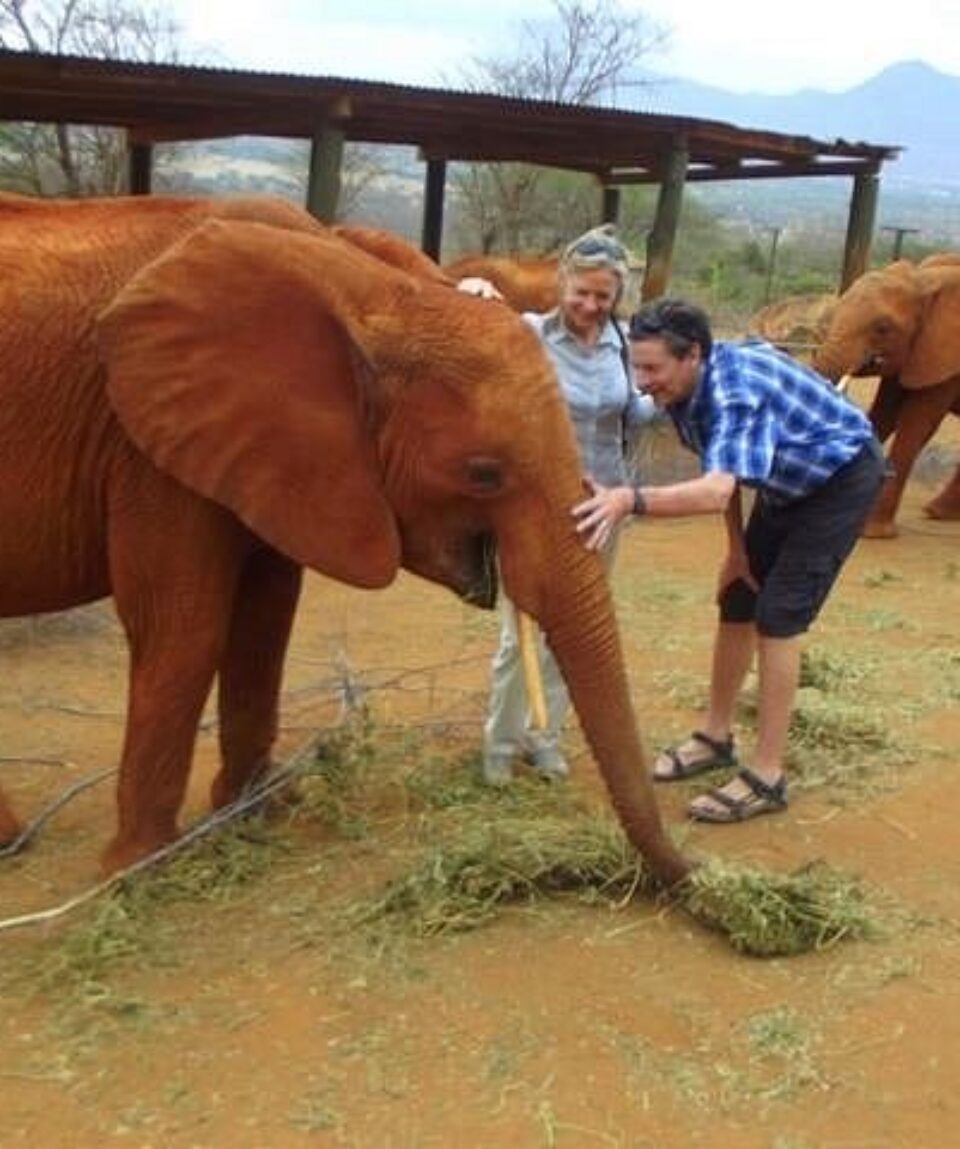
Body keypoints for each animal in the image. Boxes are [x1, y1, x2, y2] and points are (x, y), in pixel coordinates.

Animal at [0, 190, 688, 887]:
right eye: (484, 474)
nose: (690, 877)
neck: (366, 288)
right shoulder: (146, 445)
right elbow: (183, 628)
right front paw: (143, 871)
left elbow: (264, 622)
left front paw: (260, 813)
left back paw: (11, 842)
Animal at [813, 256, 960, 533]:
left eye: (883, 328)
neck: (922, 280)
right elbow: (885, 413)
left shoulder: (946, 356)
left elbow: (917, 424)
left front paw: (871, 531)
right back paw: (938, 513)